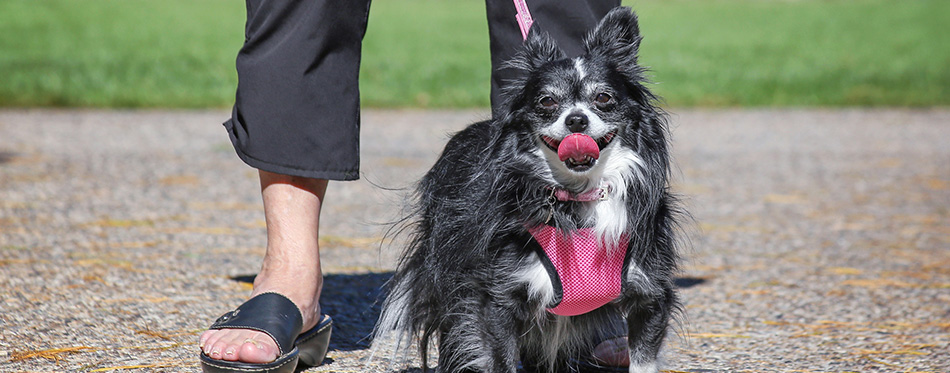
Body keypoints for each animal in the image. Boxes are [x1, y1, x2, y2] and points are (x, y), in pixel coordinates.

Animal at [376, 7, 680, 370]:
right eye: (547, 101)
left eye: (603, 98)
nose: (576, 120)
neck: (578, 196)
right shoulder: (499, 298)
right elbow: (502, 357)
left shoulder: (648, 295)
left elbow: (643, 358)